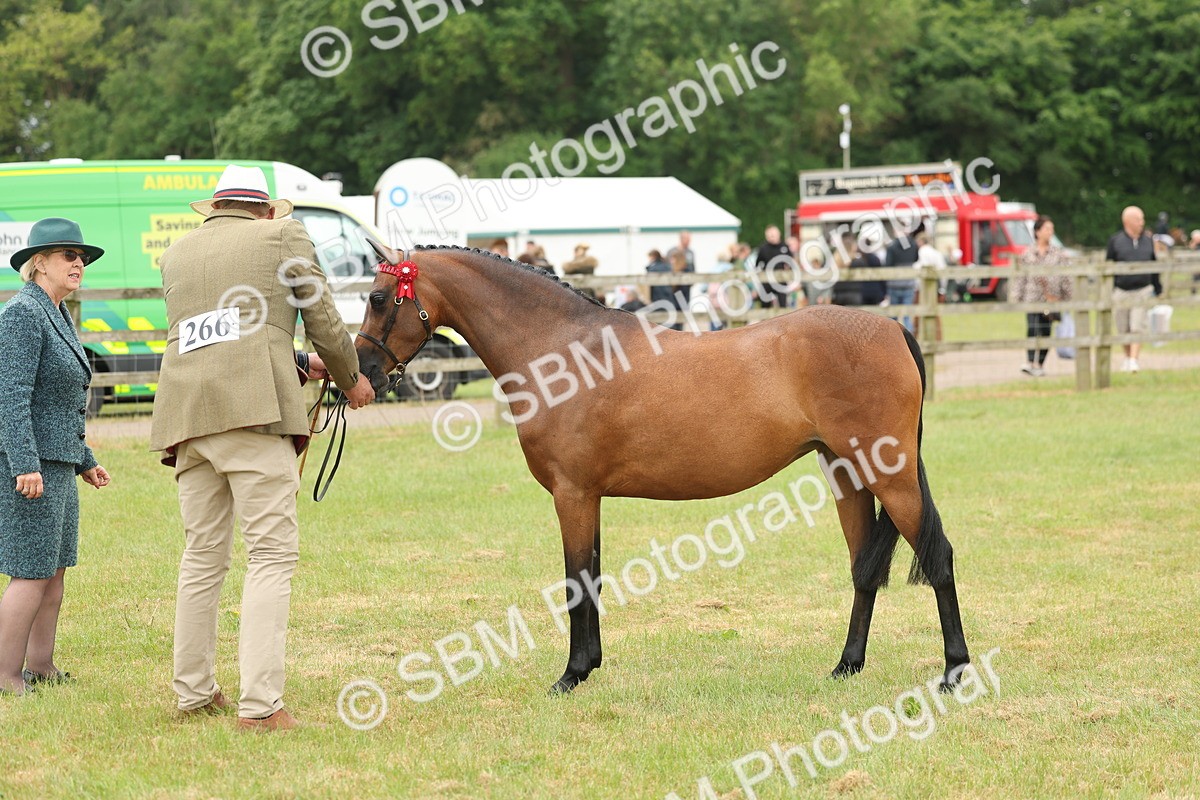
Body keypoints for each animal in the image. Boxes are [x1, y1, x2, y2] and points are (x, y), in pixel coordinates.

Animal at [353, 241, 970, 694]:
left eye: (379, 297)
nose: (361, 374)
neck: (562, 350)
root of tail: (892, 328)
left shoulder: (571, 494)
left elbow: (576, 579)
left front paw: (570, 676)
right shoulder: (589, 497)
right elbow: (593, 576)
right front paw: (589, 666)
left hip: (891, 476)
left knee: (937, 557)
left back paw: (954, 671)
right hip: (846, 474)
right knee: (865, 569)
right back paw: (846, 666)